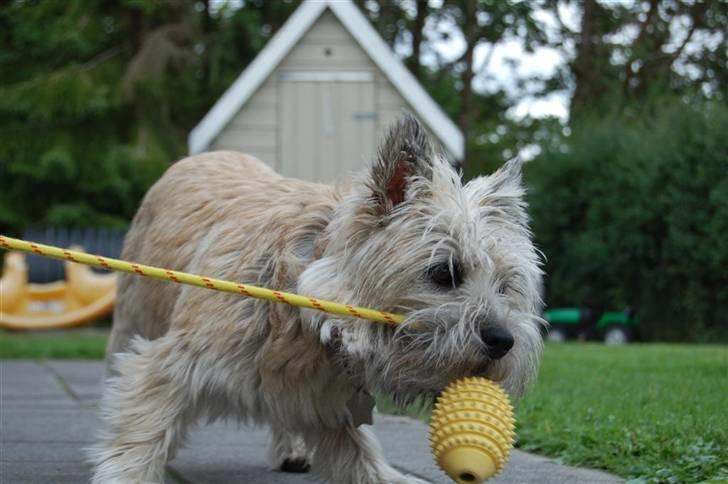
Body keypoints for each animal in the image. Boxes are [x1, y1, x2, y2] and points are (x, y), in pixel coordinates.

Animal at [91, 115, 544, 482]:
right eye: (445, 273)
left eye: (506, 286)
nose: (503, 340)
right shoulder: (171, 363)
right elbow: (140, 431)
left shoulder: (327, 405)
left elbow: (361, 458)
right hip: (131, 316)